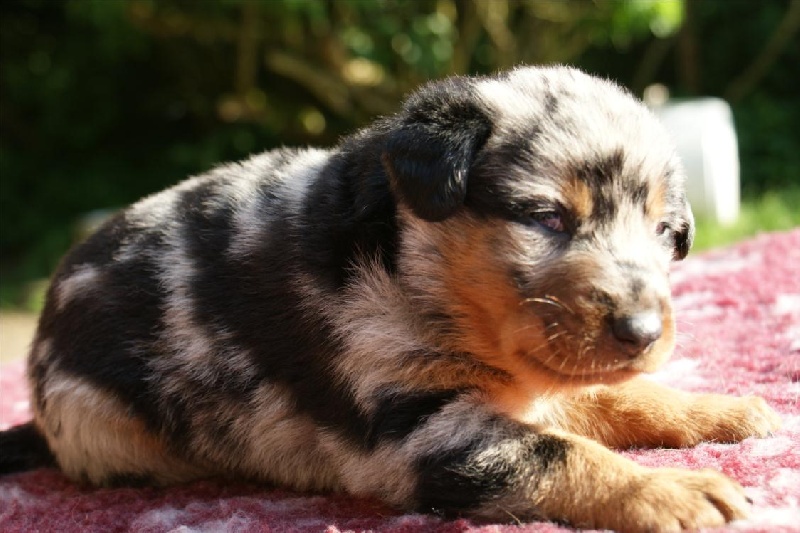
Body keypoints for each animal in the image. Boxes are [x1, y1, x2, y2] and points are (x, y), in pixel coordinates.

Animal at [0, 66, 781, 531]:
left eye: (666, 232)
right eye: (547, 218)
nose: (645, 330)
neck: (415, 271)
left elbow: (618, 397)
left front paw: (722, 410)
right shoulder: (422, 430)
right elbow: (563, 452)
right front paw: (674, 491)